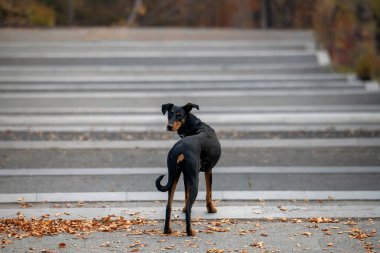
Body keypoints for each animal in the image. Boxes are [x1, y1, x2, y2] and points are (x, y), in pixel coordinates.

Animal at [155, 102, 221, 235]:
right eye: (170, 114)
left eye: (179, 115)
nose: (169, 126)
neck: (195, 126)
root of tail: (179, 149)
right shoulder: (208, 170)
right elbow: (209, 193)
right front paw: (211, 209)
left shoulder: (185, 176)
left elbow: (186, 195)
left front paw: (183, 208)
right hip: (195, 180)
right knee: (190, 207)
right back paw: (190, 231)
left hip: (174, 176)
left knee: (168, 206)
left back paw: (167, 230)